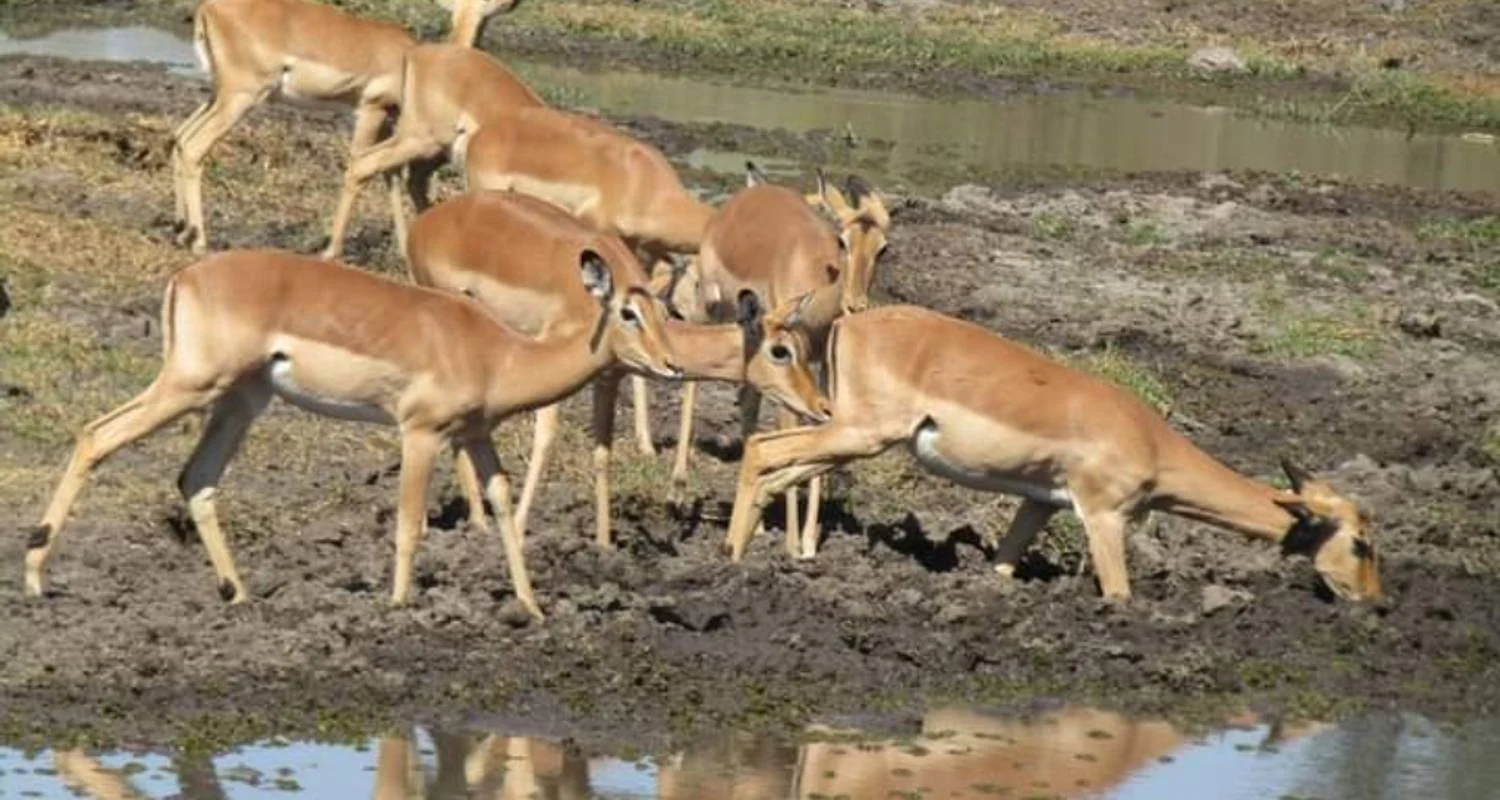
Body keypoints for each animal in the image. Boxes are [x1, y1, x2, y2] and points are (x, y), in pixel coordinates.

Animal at [23, 248, 681, 621]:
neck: (498, 353)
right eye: (628, 312)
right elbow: (411, 524)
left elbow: (501, 506)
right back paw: (34, 576)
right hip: (193, 385)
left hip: (240, 399)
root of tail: (187, 275)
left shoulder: (475, 436)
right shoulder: (420, 434)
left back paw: (240, 597)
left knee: (197, 479)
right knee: (96, 436)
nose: (672, 365)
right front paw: (398, 606)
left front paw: (533, 608)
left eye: (663, 311)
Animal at [171, 0, 518, 254]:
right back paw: (200, 242)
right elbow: (359, 169)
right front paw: (332, 248)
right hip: (241, 97)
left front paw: (403, 248)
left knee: (179, 138)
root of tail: (207, 9)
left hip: (219, 95)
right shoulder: (370, 110)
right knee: (194, 147)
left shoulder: (389, 123)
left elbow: (390, 177)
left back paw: (180, 230)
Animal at [406, 190, 830, 547]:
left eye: (802, 348)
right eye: (780, 351)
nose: (821, 406)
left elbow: (602, 454)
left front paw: (604, 544)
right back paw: (460, 523)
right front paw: (522, 525)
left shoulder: (608, 378)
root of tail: (426, 221)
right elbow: (546, 437)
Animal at [673, 165, 889, 558]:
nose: (856, 306)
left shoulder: (818, 366)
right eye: (842, 241)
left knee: (747, 398)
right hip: (709, 307)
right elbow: (788, 425)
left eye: (883, 248)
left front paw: (808, 543)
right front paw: (791, 544)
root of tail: (745, 198)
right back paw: (678, 491)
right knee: (693, 379)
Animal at [725, 304, 1383, 603]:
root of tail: (848, 323)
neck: (1149, 439)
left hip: (852, 439)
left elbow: (1002, 565)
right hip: (860, 434)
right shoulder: (1105, 516)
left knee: (777, 464)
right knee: (760, 448)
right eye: (1360, 542)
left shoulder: (1038, 504)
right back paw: (728, 560)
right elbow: (1119, 593)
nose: (1374, 602)